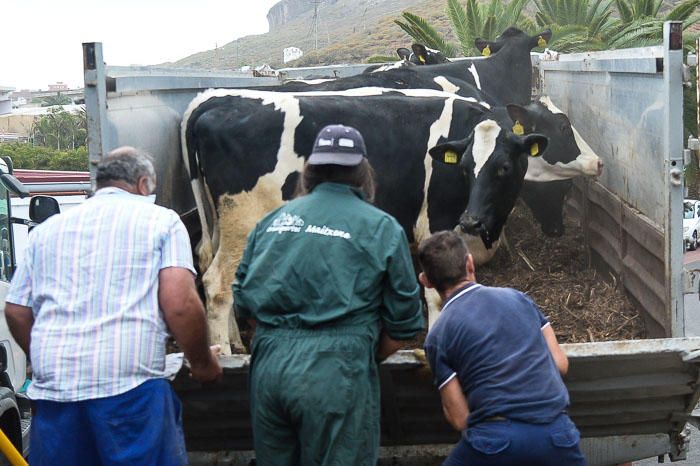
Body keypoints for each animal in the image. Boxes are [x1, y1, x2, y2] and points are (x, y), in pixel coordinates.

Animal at [183, 86, 548, 350]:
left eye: (504, 167)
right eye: (464, 167)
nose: (472, 220)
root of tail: (213, 103)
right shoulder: (436, 222)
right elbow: (435, 294)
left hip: (222, 223)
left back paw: (235, 342)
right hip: (242, 221)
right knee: (217, 286)